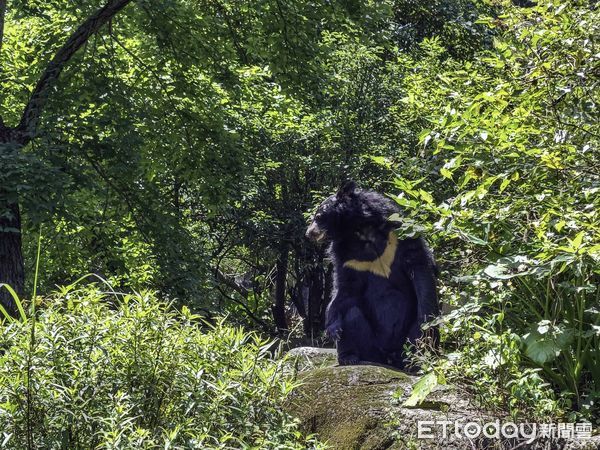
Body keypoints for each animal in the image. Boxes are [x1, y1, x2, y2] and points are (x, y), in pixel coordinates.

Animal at [308, 180, 438, 370]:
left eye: (318, 216)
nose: (309, 233)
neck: (360, 229)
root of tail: (389, 357)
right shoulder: (346, 255)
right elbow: (344, 286)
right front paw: (332, 329)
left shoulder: (398, 231)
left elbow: (419, 266)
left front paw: (426, 317)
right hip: (370, 346)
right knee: (351, 313)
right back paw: (349, 357)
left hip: (406, 337)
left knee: (418, 335)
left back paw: (415, 362)